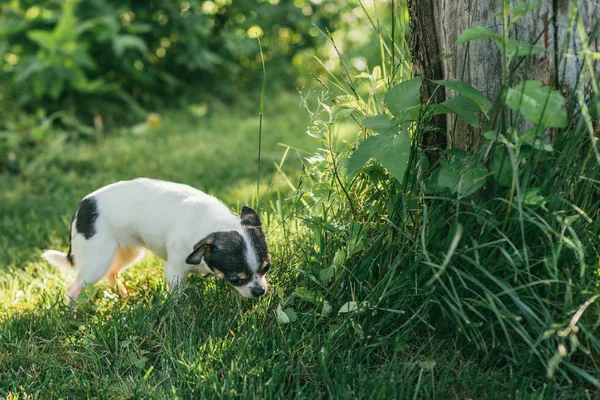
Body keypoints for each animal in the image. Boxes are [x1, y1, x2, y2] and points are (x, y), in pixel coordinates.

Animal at [43, 177, 274, 304]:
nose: (259, 291)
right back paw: (71, 314)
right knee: (73, 288)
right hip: (96, 261)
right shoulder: (175, 271)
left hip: (127, 253)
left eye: (266, 268)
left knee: (112, 273)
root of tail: (82, 206)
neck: (210, 224)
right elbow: (177, 295)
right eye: (236, 278)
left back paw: (123, 296)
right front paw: (178, 311)